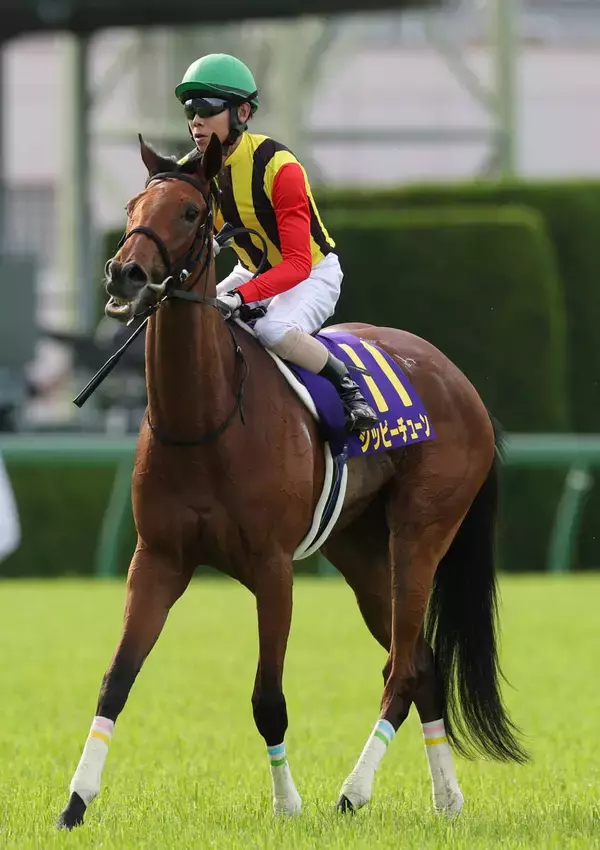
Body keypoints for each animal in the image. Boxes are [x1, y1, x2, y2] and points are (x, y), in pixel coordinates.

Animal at [57, 132, 527, 829]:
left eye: (191, 213)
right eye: (132, 205)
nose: (124, 275)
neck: (206, 418)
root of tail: (460, 383)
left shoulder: (273, 568)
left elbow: (267, 697)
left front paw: (287, 804)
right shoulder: (158, 558)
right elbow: (116, 680)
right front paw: (74, 803)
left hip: (419, 536)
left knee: (399, 671)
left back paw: (353, 792)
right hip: (361, 552)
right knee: (419, 663)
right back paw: (447, 799)